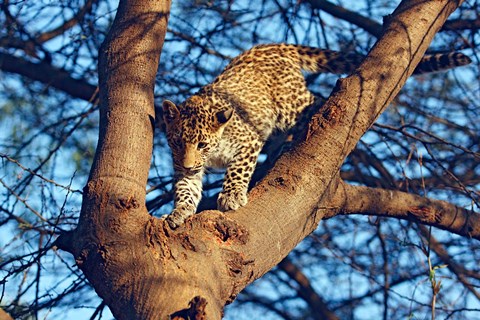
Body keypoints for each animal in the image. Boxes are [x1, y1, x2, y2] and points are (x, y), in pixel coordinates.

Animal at [162, 43, 472, 228]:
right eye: (177, 142)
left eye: (202, 143)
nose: (188, 163)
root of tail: (272, 44)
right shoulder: (185, 167)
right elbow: (186, 189)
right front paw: (178, 213)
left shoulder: (247, 142)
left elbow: (237, 170)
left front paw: (231, 195)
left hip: (290, 104)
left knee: (317, 103)